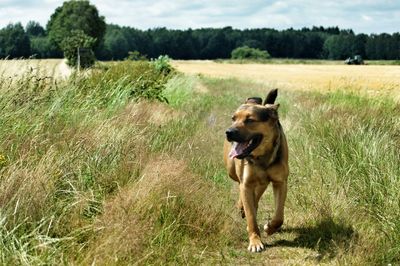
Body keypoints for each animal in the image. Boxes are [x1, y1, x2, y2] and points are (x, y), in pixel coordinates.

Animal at [223, 88, 290, 252]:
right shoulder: (246, 183)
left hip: (263, 182)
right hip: (233, 171)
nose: (228, 132)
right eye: (233, 118)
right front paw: (255, 241)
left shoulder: (280, 182)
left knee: (257, 194)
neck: (262, 156)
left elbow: (279, 216)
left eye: (250, 120)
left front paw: (270, 228)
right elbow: (251, 218)